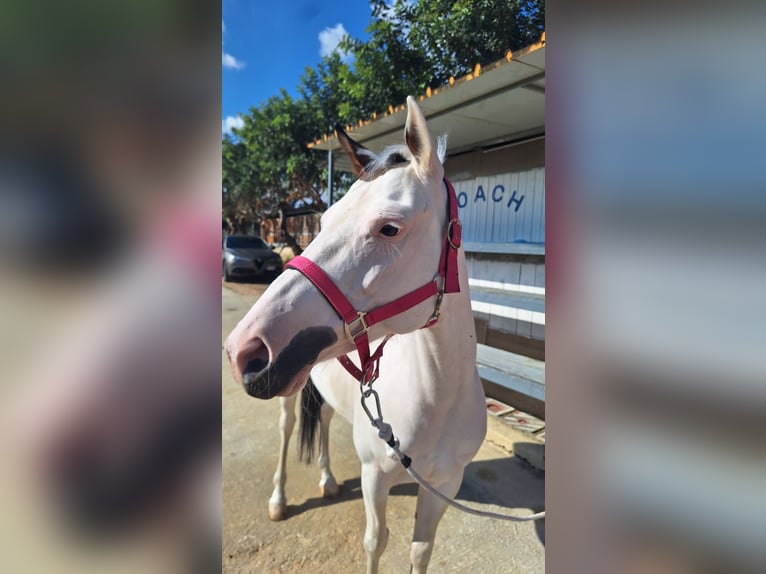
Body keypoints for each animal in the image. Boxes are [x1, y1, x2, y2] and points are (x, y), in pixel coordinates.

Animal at [225, 96, 487, 574]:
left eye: (390, 227)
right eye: (324, 220)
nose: (244, 349)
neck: (438, 395)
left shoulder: (445, 485)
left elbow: (421, 549)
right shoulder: (374, 477)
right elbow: (375, 542)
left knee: (326, 421)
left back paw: (328, 480)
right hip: (290, 394)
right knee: (287, 431)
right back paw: (279, 500)